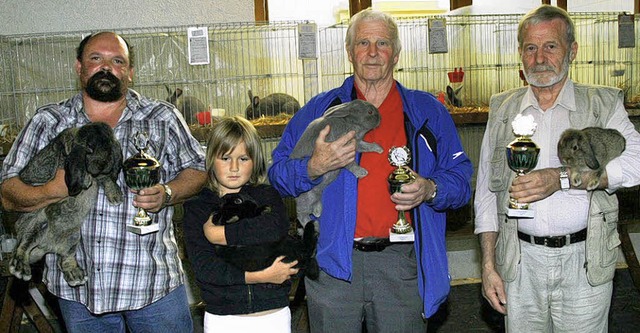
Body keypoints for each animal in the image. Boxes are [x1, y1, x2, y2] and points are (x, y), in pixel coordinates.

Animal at [9, 122, 123, 286]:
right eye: (89, 148)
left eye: (109, 148)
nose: (103, 165)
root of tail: (46, 246)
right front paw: (86, 178)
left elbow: (106, 179)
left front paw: (115, 195)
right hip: (36, 224)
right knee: (23, 245)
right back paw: (21, 268)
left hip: (73, 237)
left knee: (65, 258)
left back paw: (75, 274)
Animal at [292, 98, 382, 227]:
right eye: (369, 112)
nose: (380, 118)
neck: (349, 122)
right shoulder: (343, 151)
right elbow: (351, 164)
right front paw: (362, 172)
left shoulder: (357, 143)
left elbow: (366, 146)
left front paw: (379, 148)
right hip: (306, 198)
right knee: (302, 215)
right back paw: (313, 224)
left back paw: (318, 211)